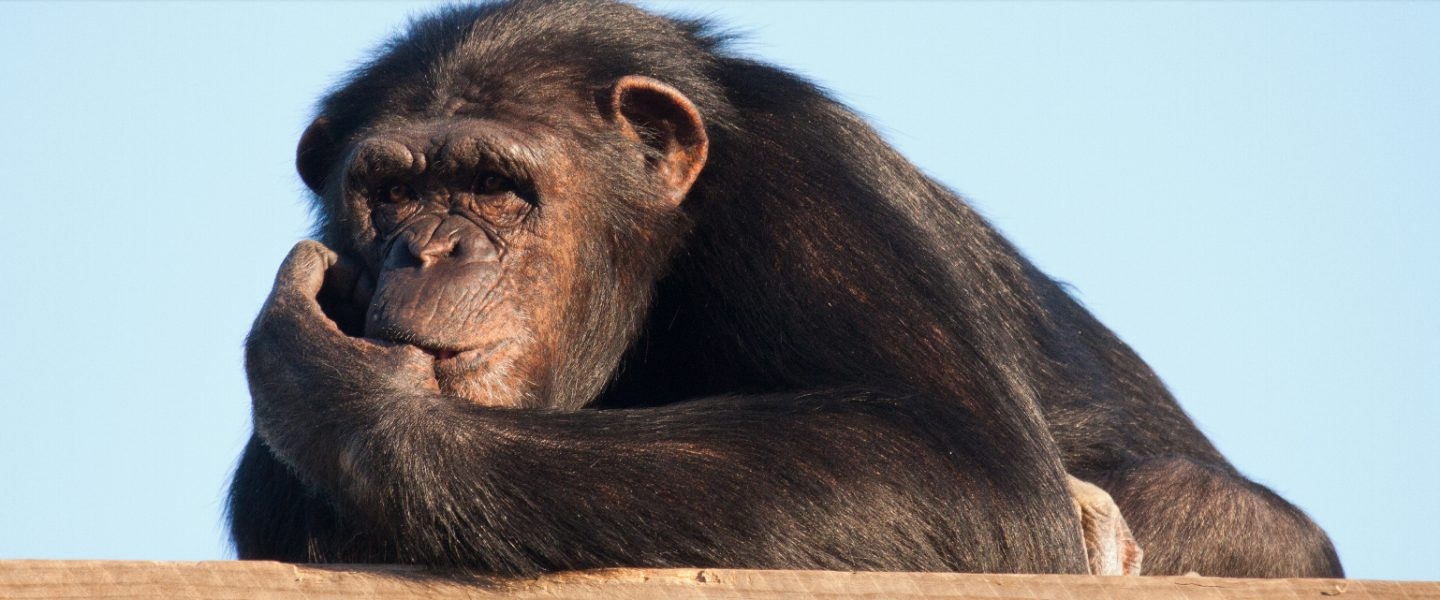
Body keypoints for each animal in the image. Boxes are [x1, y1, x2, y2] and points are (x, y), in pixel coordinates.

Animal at [224, 1, 1336, 581]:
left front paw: (340, 389)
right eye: (393, 193)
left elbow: (960, 464)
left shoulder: (807, 180)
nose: (432, 249)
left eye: (497, 188)